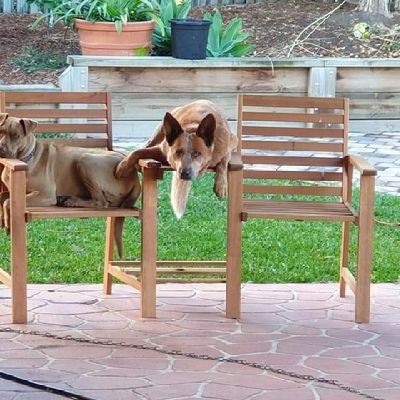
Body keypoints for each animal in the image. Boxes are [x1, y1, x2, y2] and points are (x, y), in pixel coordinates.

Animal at [0, 112, 141, 256]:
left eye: (16, 136)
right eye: (0, 131)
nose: (1, 149)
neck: (27, 158)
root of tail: (134, 176)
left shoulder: (45, 195)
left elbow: (8, 201)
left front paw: (7, 222)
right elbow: (4, 197)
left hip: (86, 160)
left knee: (101, 201)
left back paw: (71, 201)